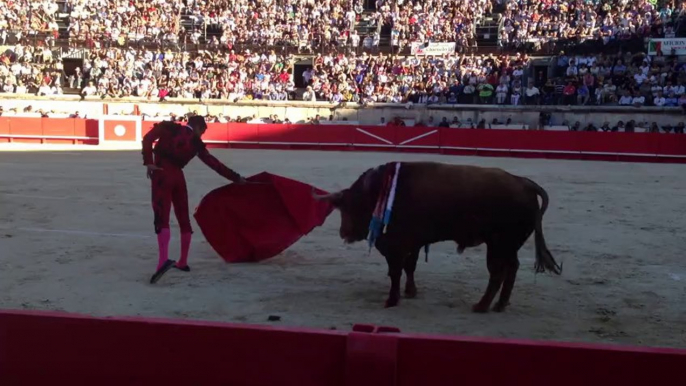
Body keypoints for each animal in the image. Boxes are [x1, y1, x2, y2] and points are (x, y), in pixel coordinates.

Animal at [314, 161, 560, 312]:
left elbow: (395, 272)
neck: (376, 193)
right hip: (508, 246)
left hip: (498, 245)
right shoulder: (414, 243)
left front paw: (392, 300)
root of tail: (524, 182)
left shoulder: (395, 246)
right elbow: (409, 267)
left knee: (497, 273)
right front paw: (410, 292)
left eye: (347, 208)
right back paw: (499, 305)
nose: (344, 233)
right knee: (512, 269)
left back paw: (481, 306)